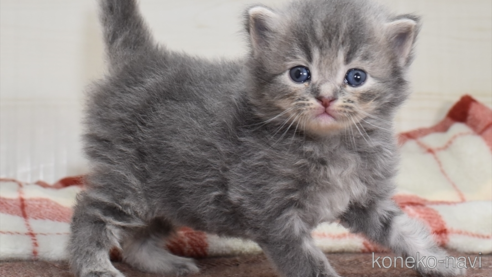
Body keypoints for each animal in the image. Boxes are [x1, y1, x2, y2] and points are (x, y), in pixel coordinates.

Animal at [69, 0, 466, 276]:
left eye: (356, 77)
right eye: (299, 73)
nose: (325, 97)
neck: (330, 145)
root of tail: (142, 63)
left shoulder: (366, 200)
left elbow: (407, 231)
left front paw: (442, 264)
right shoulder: (273, 212)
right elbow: (308, 264)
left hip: (173, 190)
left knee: (137, 238)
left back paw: (164, 263)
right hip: (131, 181)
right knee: (89, 210)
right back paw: (94, 266)